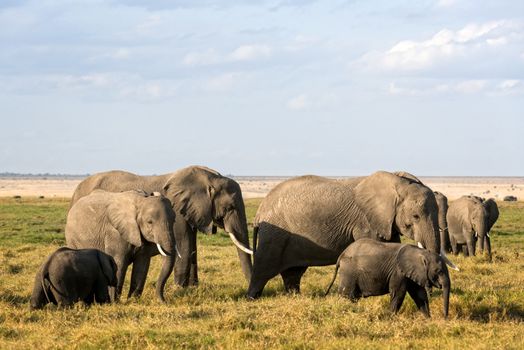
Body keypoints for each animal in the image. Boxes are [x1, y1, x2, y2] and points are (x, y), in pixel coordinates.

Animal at [68, 166, 253, 288]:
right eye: (230, 207)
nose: (250, 293)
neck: (210, 177)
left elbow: (193, 247)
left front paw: (192, 288)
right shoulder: (177, 212)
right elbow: (184, 244)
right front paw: (180, 290)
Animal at [248, 171, 456, 300]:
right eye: (415, 216)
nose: (431, 292)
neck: (396, 182)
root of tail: (260, 210)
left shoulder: (385, 221)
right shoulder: (367, 220)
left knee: (293, 272)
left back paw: (296, 297)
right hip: (274, 235)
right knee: (263, 268)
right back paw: (252, 298)